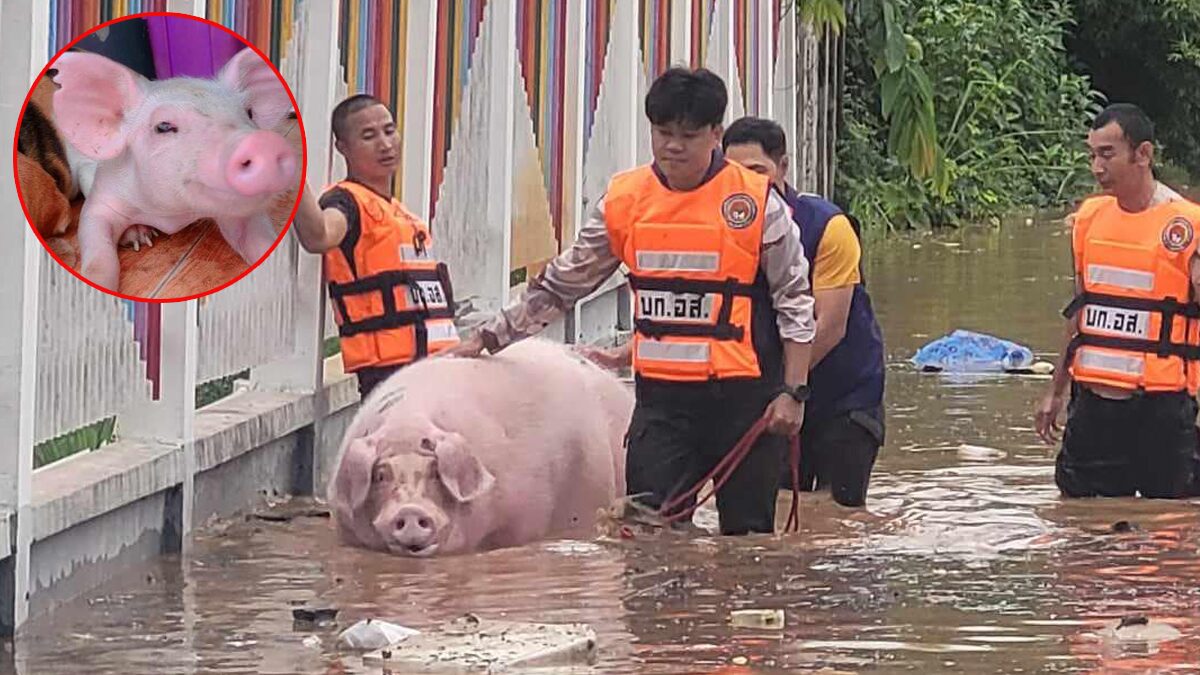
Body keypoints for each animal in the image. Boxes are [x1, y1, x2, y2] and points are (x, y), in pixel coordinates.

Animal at [49, 47, 300, 289]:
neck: (171, 215)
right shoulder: (103, 194)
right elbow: (95, 246)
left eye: (249, 113)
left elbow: (257, 237)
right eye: (164, 126)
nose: (263, 142)